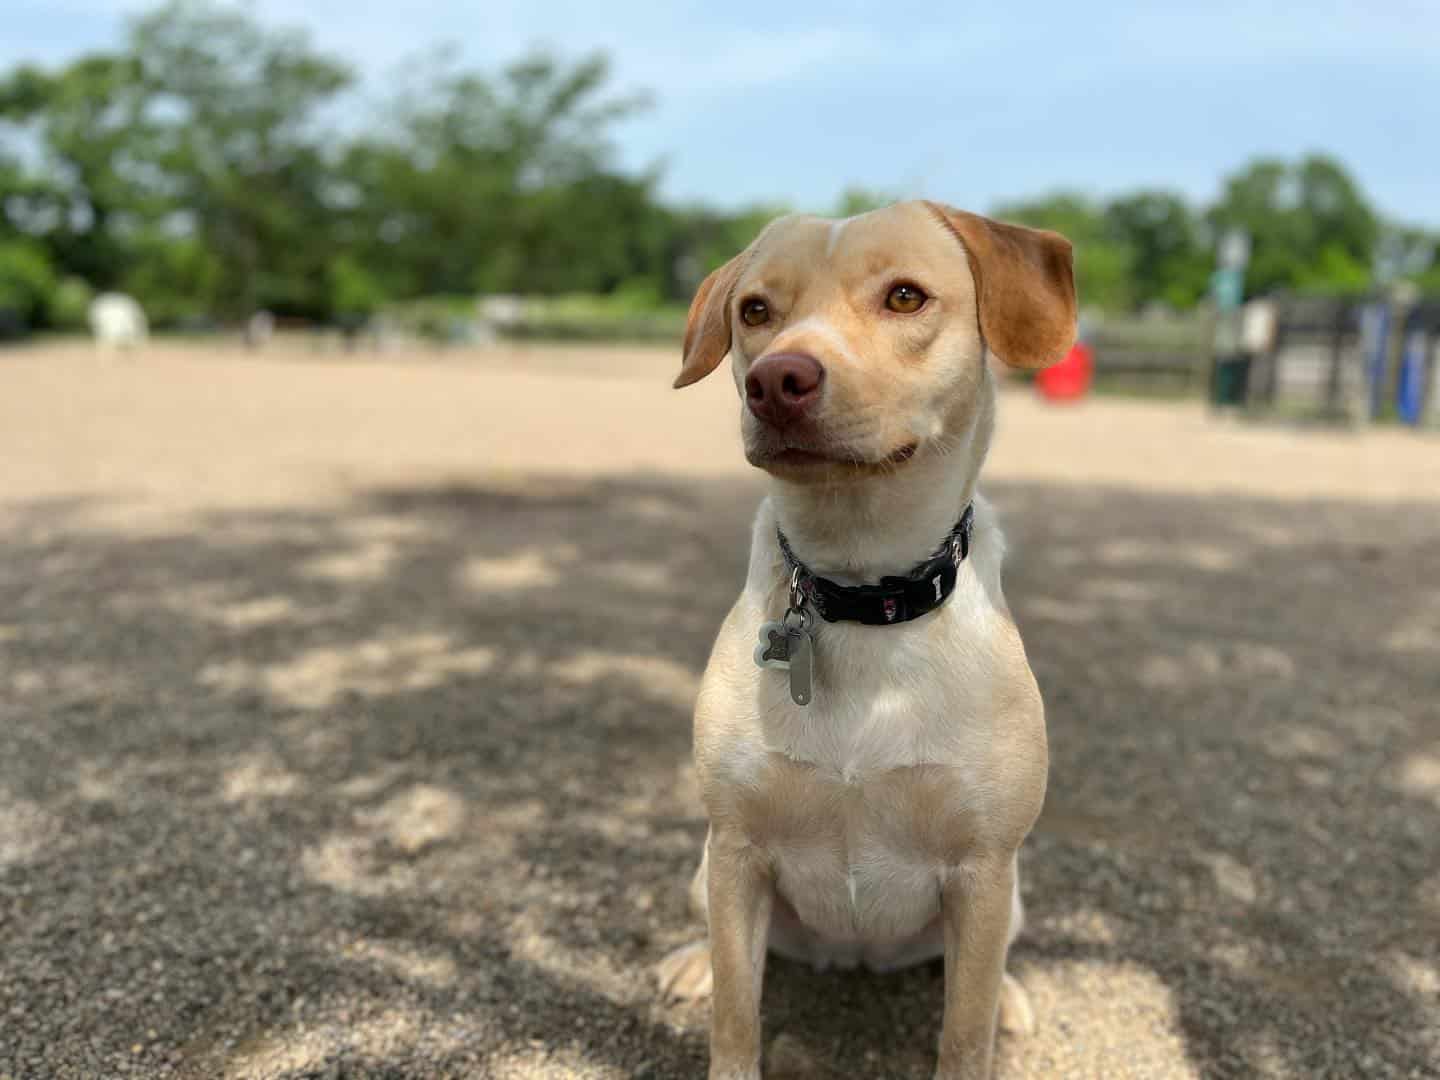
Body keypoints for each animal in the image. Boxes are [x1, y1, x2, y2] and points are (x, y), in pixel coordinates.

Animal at [659, 198, 1077, 1077]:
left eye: (906, 297)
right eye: (755, 311)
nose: (776, 381)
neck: (858, 592)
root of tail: (853, 955)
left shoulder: (983, 870)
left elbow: (965, 1033)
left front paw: (989, 1022)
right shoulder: (737, 850)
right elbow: (735, 1018)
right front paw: (714, 997)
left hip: (1015, 895)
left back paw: (1016, 1000)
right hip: (701, 866)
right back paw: (688, 962)